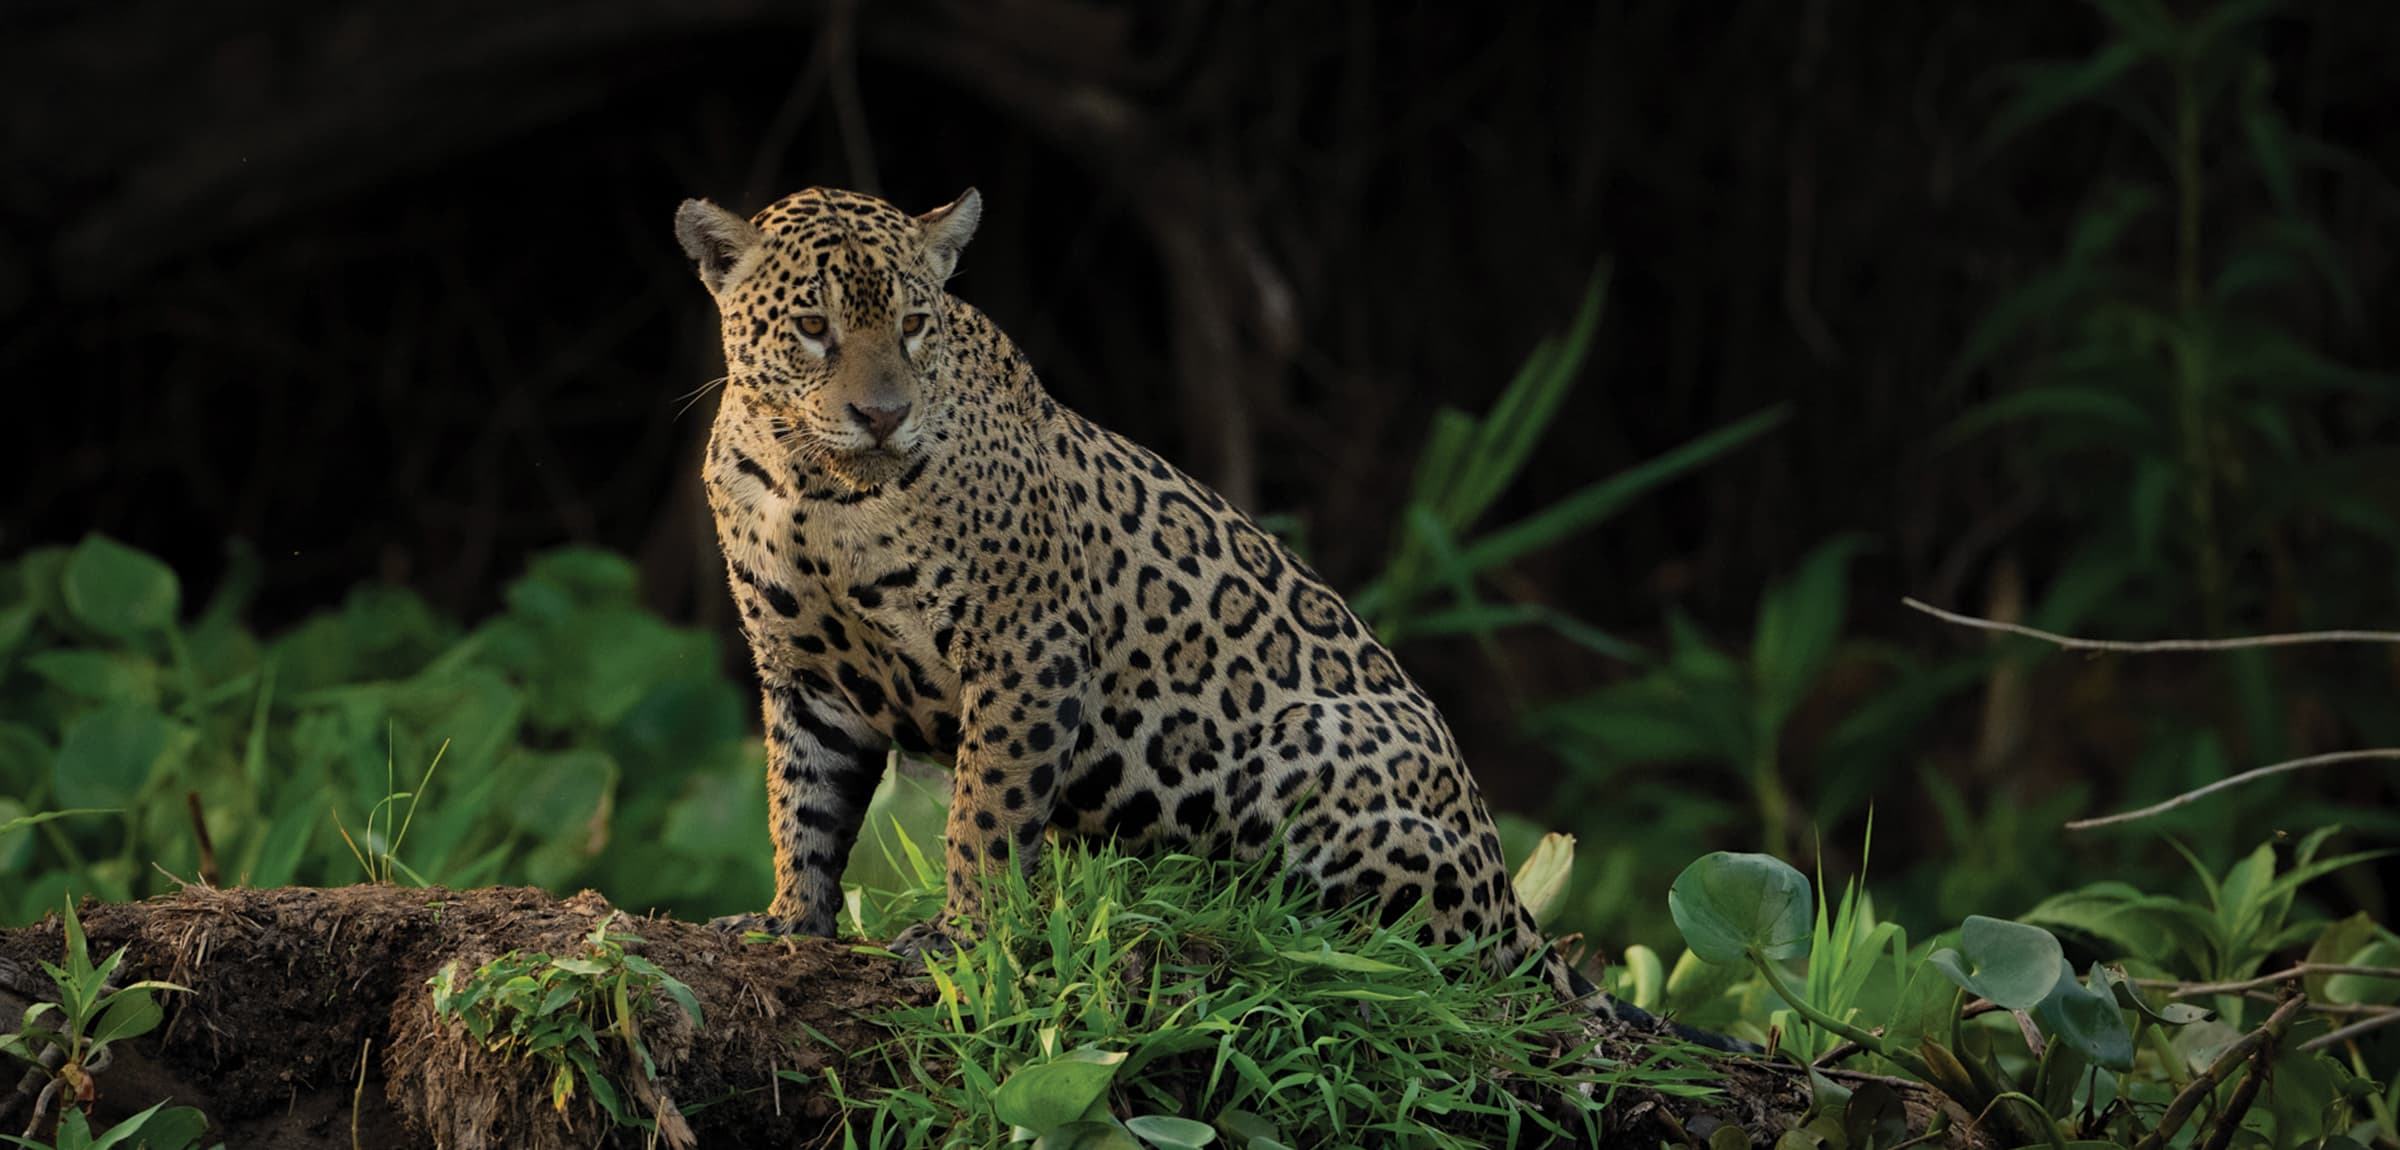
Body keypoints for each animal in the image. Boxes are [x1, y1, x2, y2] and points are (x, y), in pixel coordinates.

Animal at [673, 184, 1735, 1048]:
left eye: (914, 326)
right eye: (813, 326)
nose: (884, 415)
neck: (816, 487)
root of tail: (1514, 893)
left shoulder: (1025, 649)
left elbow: (985, 813)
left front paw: (963, 935)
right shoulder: (803, 672)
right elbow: (800, 805)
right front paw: (787, 923)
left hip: (1312, 752)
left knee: (1418, 949)